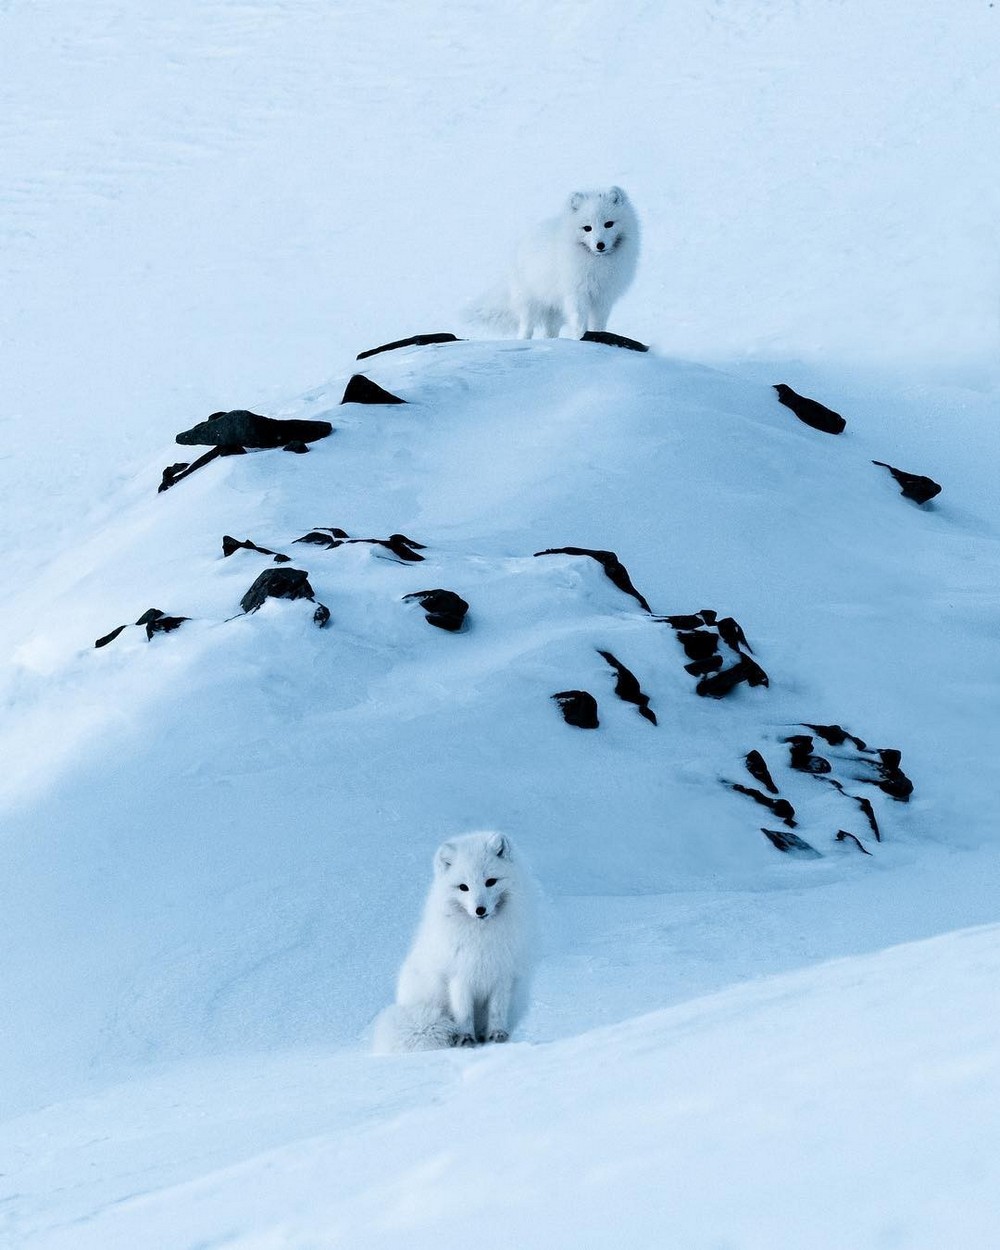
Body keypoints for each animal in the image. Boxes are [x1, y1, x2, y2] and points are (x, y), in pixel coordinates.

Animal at [372, 830, 540, 1055]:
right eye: (463, 887)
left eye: (490, 881)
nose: (480, 910)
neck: (482, 938)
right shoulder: (459, 976)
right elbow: (463, 1013)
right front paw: (466, 1039)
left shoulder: (502, 973)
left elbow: (497, 1010)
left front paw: (497, 1035)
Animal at [470, 186, 640, 340]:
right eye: (587, 228)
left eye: (609, 224)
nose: (600, 245)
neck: (596, 264)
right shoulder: (576, 294)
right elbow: (579, 323)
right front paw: (579, 339)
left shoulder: (604, 298)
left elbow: (598, 324)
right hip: (529, 303)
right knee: (526, 328)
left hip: (554, 311)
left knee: (549, 332)